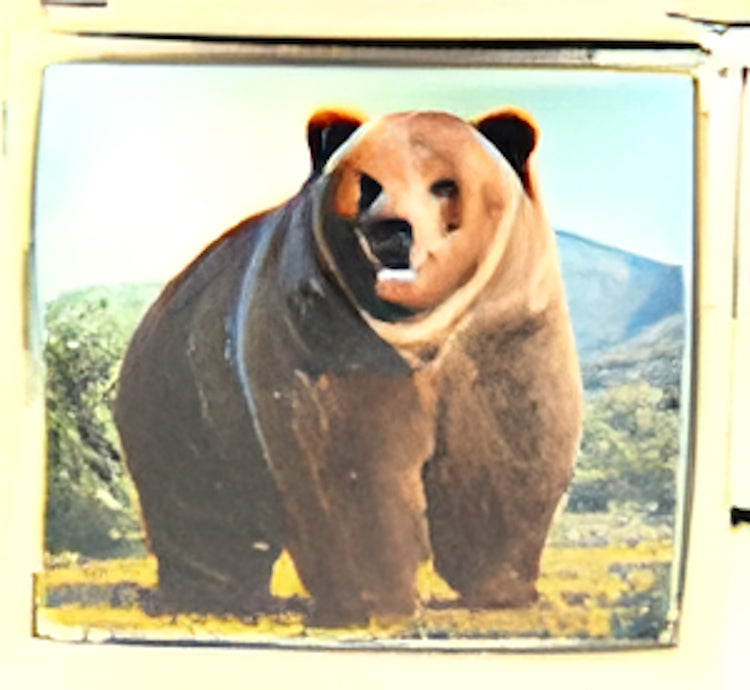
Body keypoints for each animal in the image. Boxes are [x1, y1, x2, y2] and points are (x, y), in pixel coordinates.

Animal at [114, 106, 583, 627]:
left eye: (444, 185)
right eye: (369, 183)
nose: (391, 229)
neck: (422, 332)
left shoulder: (505, 329)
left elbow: (505, 455)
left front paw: (499, 588)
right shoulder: (325, 335)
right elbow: (349, 469)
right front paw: (373, 602)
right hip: (180, 400)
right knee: (203, 513)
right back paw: (211, 596)